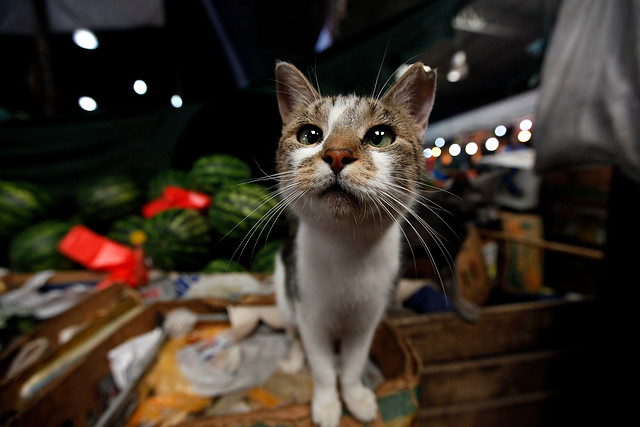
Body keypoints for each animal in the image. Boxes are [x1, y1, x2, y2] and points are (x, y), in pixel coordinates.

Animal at [272, 61, 438, 427]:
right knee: (292, 332)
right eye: (310, 135)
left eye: (380, 136)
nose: (336, 154)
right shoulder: (310, 313)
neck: (347, 248)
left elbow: (353, 363)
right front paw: (326, 404)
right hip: (284, 290)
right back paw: (291, 360)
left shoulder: (367, 320)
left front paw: (355, 396)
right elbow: (319, 365)